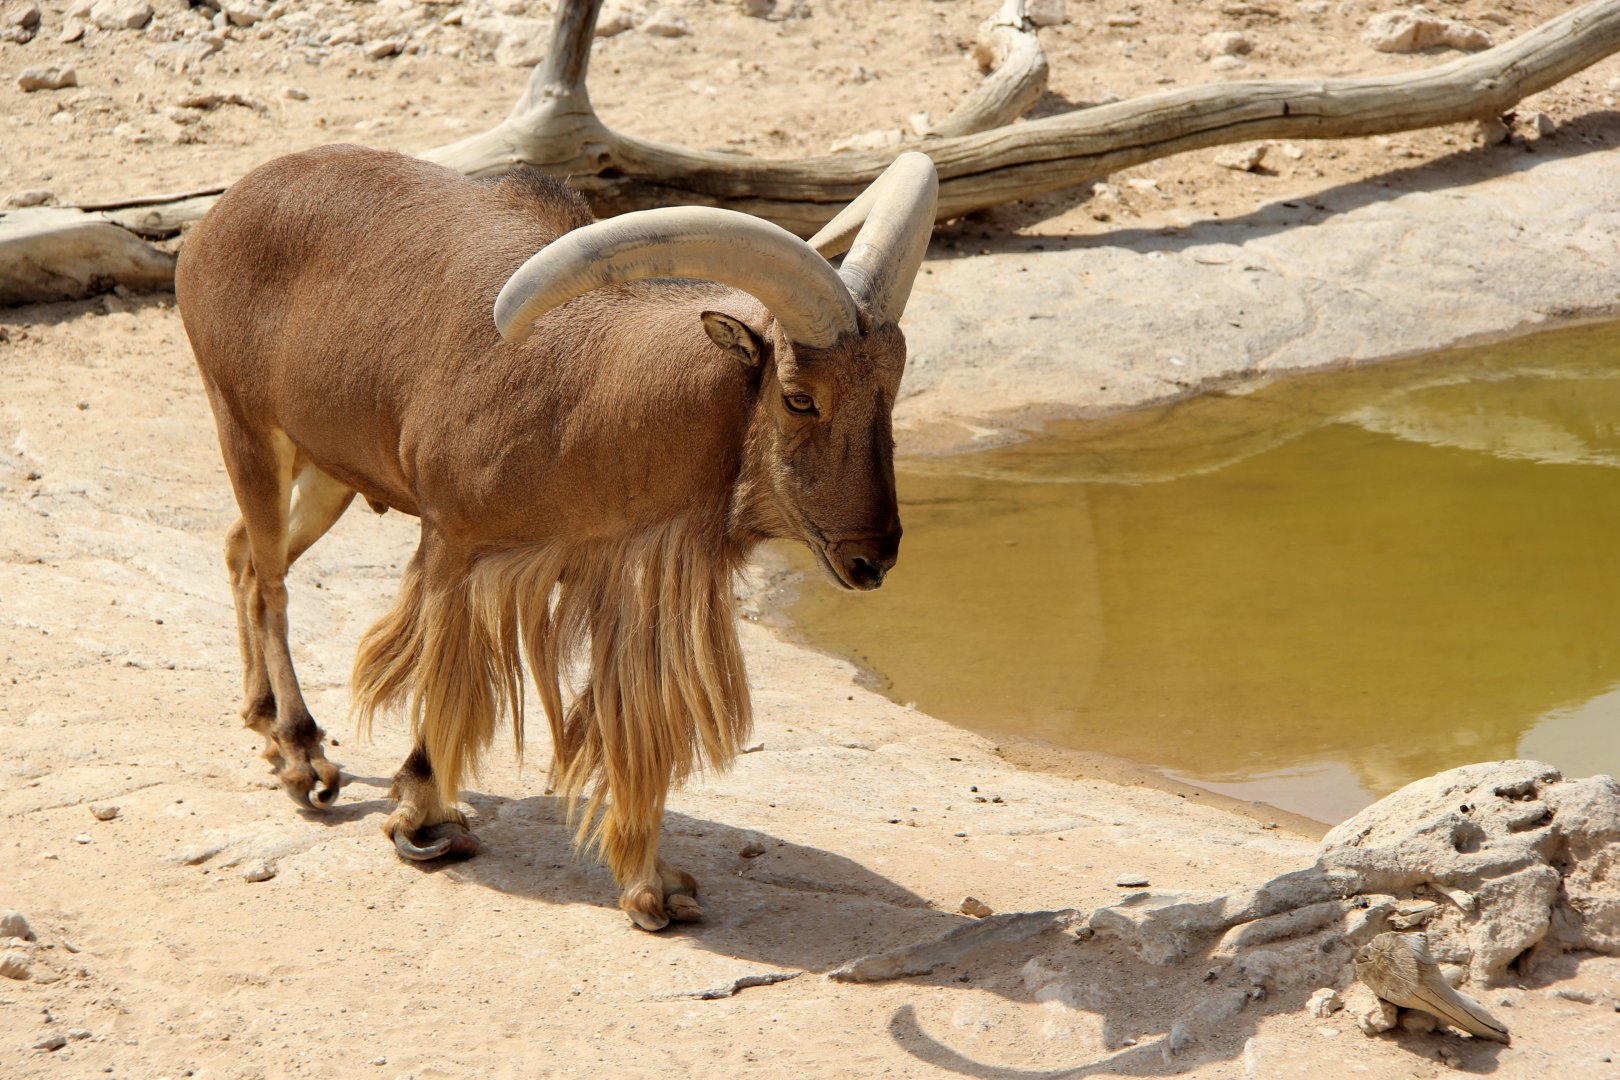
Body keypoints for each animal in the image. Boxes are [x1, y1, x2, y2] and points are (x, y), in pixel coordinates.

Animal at [175, 144, 938, 930]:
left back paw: (264, 722)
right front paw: (424, 820)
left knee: (240, 553)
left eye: (889, 392)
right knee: (268, 580)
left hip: (327, 470)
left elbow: (627, 725)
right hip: (245, 426)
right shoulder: (456, 543)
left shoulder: (621, 576)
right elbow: (441, 681)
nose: (871, 556)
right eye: (799, 397)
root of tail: (221, 213)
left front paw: (652, 886)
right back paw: (302, 756)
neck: (599, 393)